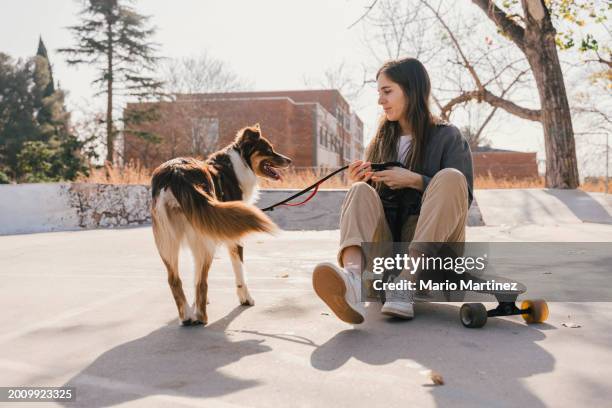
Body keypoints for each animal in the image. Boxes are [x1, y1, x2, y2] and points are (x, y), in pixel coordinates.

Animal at [150, 124, 290, 326]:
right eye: (268, 149)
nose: (289, 160)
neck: (238, 165)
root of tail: (176, 172)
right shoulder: (233, 236)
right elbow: (239, 271)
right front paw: (245, 298)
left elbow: (196, 273)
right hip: (204, 239)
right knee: (202, 282)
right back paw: (201, 317)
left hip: (168, 241)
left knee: (174, 279)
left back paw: (187, 316)